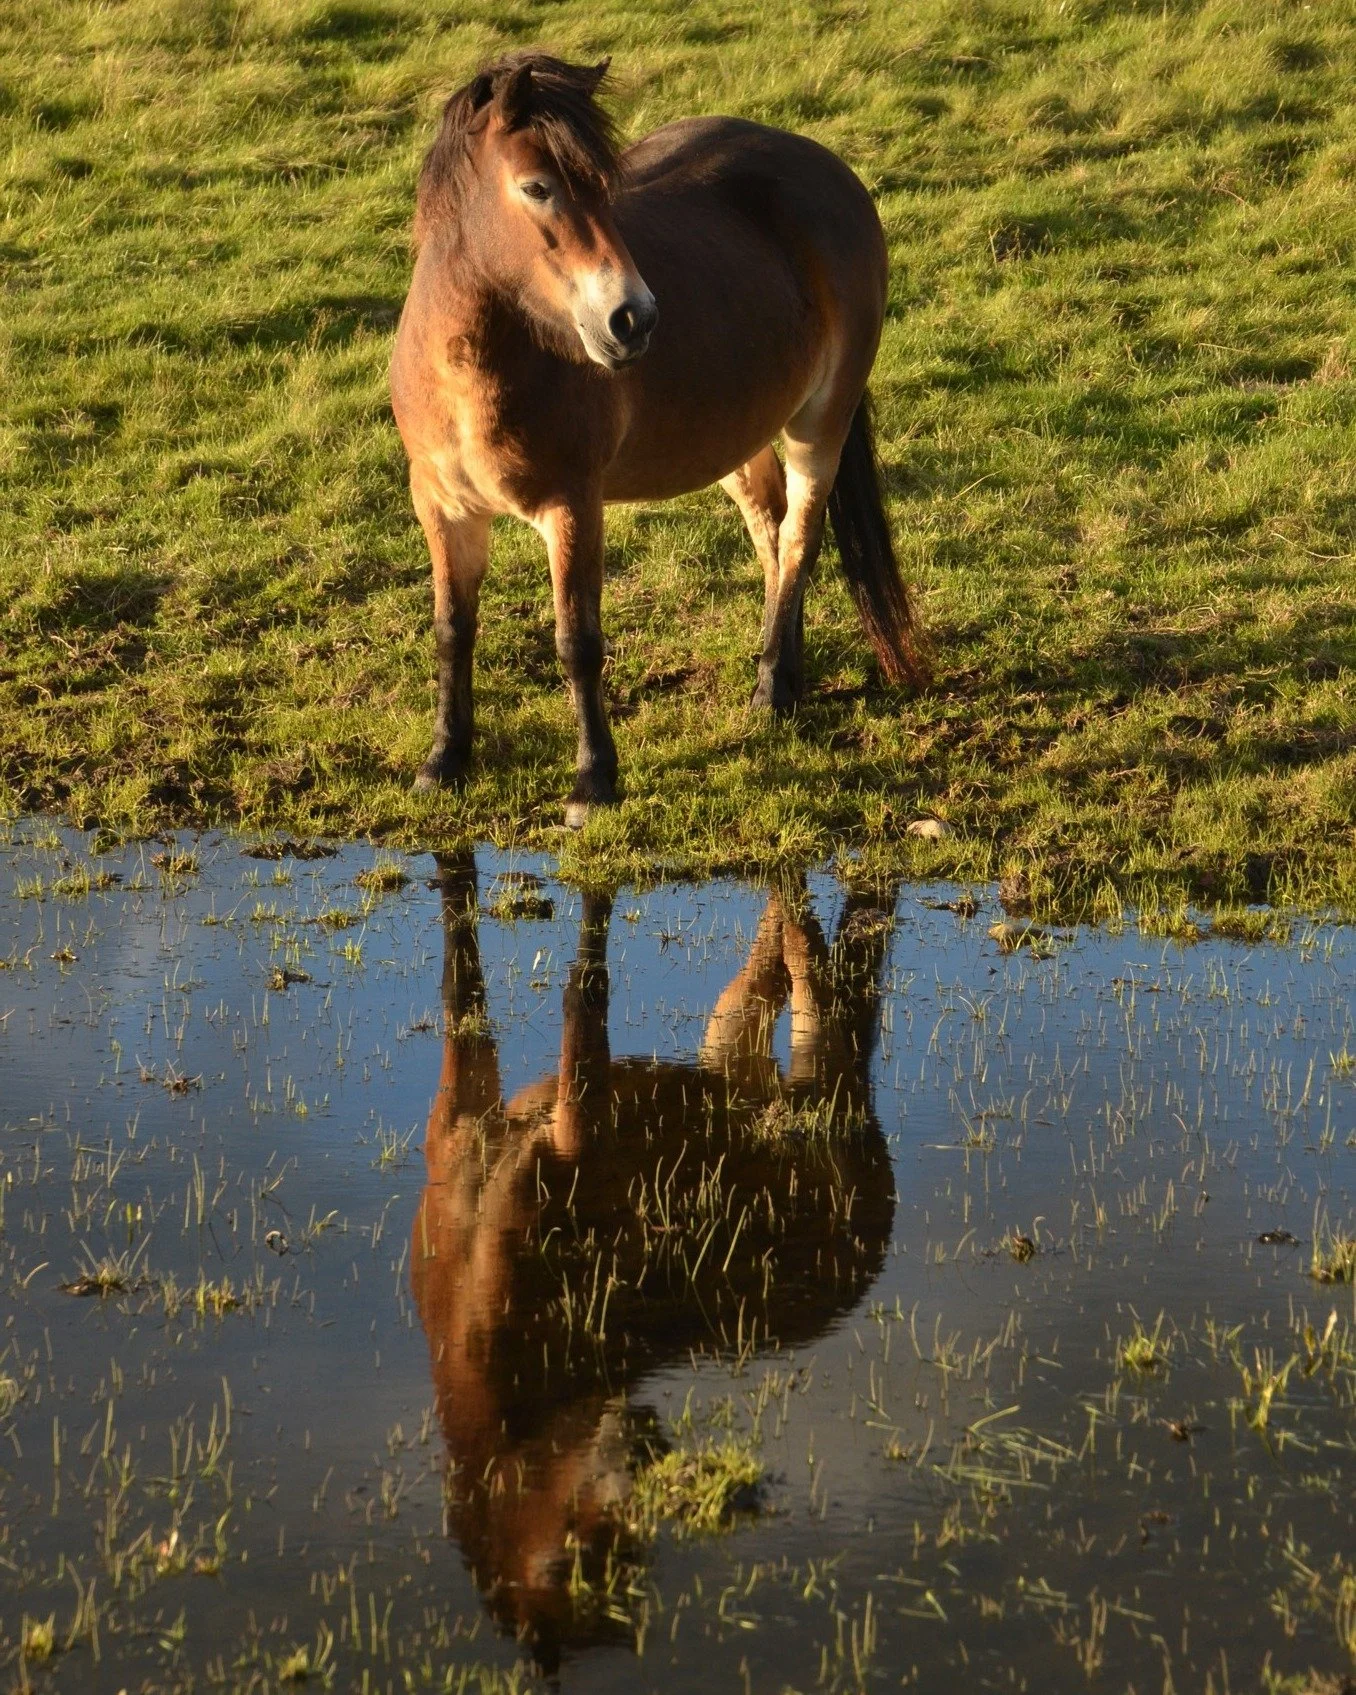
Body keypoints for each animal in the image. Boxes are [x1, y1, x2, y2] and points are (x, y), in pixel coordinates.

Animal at [390, 51, 928, 827]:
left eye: (605, 188)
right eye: (537, 187)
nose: (633, 319)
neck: (471, 367)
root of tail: (828, 168)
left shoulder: (573, 507)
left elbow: (577, 642)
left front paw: (593, 782)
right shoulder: (442, 507)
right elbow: (451, 630)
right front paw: (443, 762)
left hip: (819, 421)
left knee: (799, 535)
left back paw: (772, 689)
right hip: (735, 432)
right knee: (771, 531)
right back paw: (786, 671)